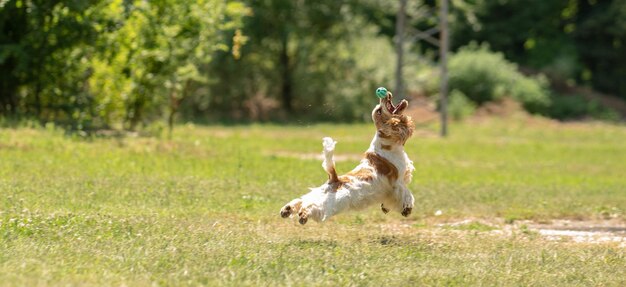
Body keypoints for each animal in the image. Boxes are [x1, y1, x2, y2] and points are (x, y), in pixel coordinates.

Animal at [280, 91, 414, 225]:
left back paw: (286, 210)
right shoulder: (397, 183)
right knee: (310, 206)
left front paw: (386, 207)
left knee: (303, 199)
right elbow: (407, 194)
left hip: (320, 193)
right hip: (329, 204)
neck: (387, 144)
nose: (384, 95)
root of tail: (334, 179)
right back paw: (302, 215)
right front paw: (407, 209)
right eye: (379, 111)